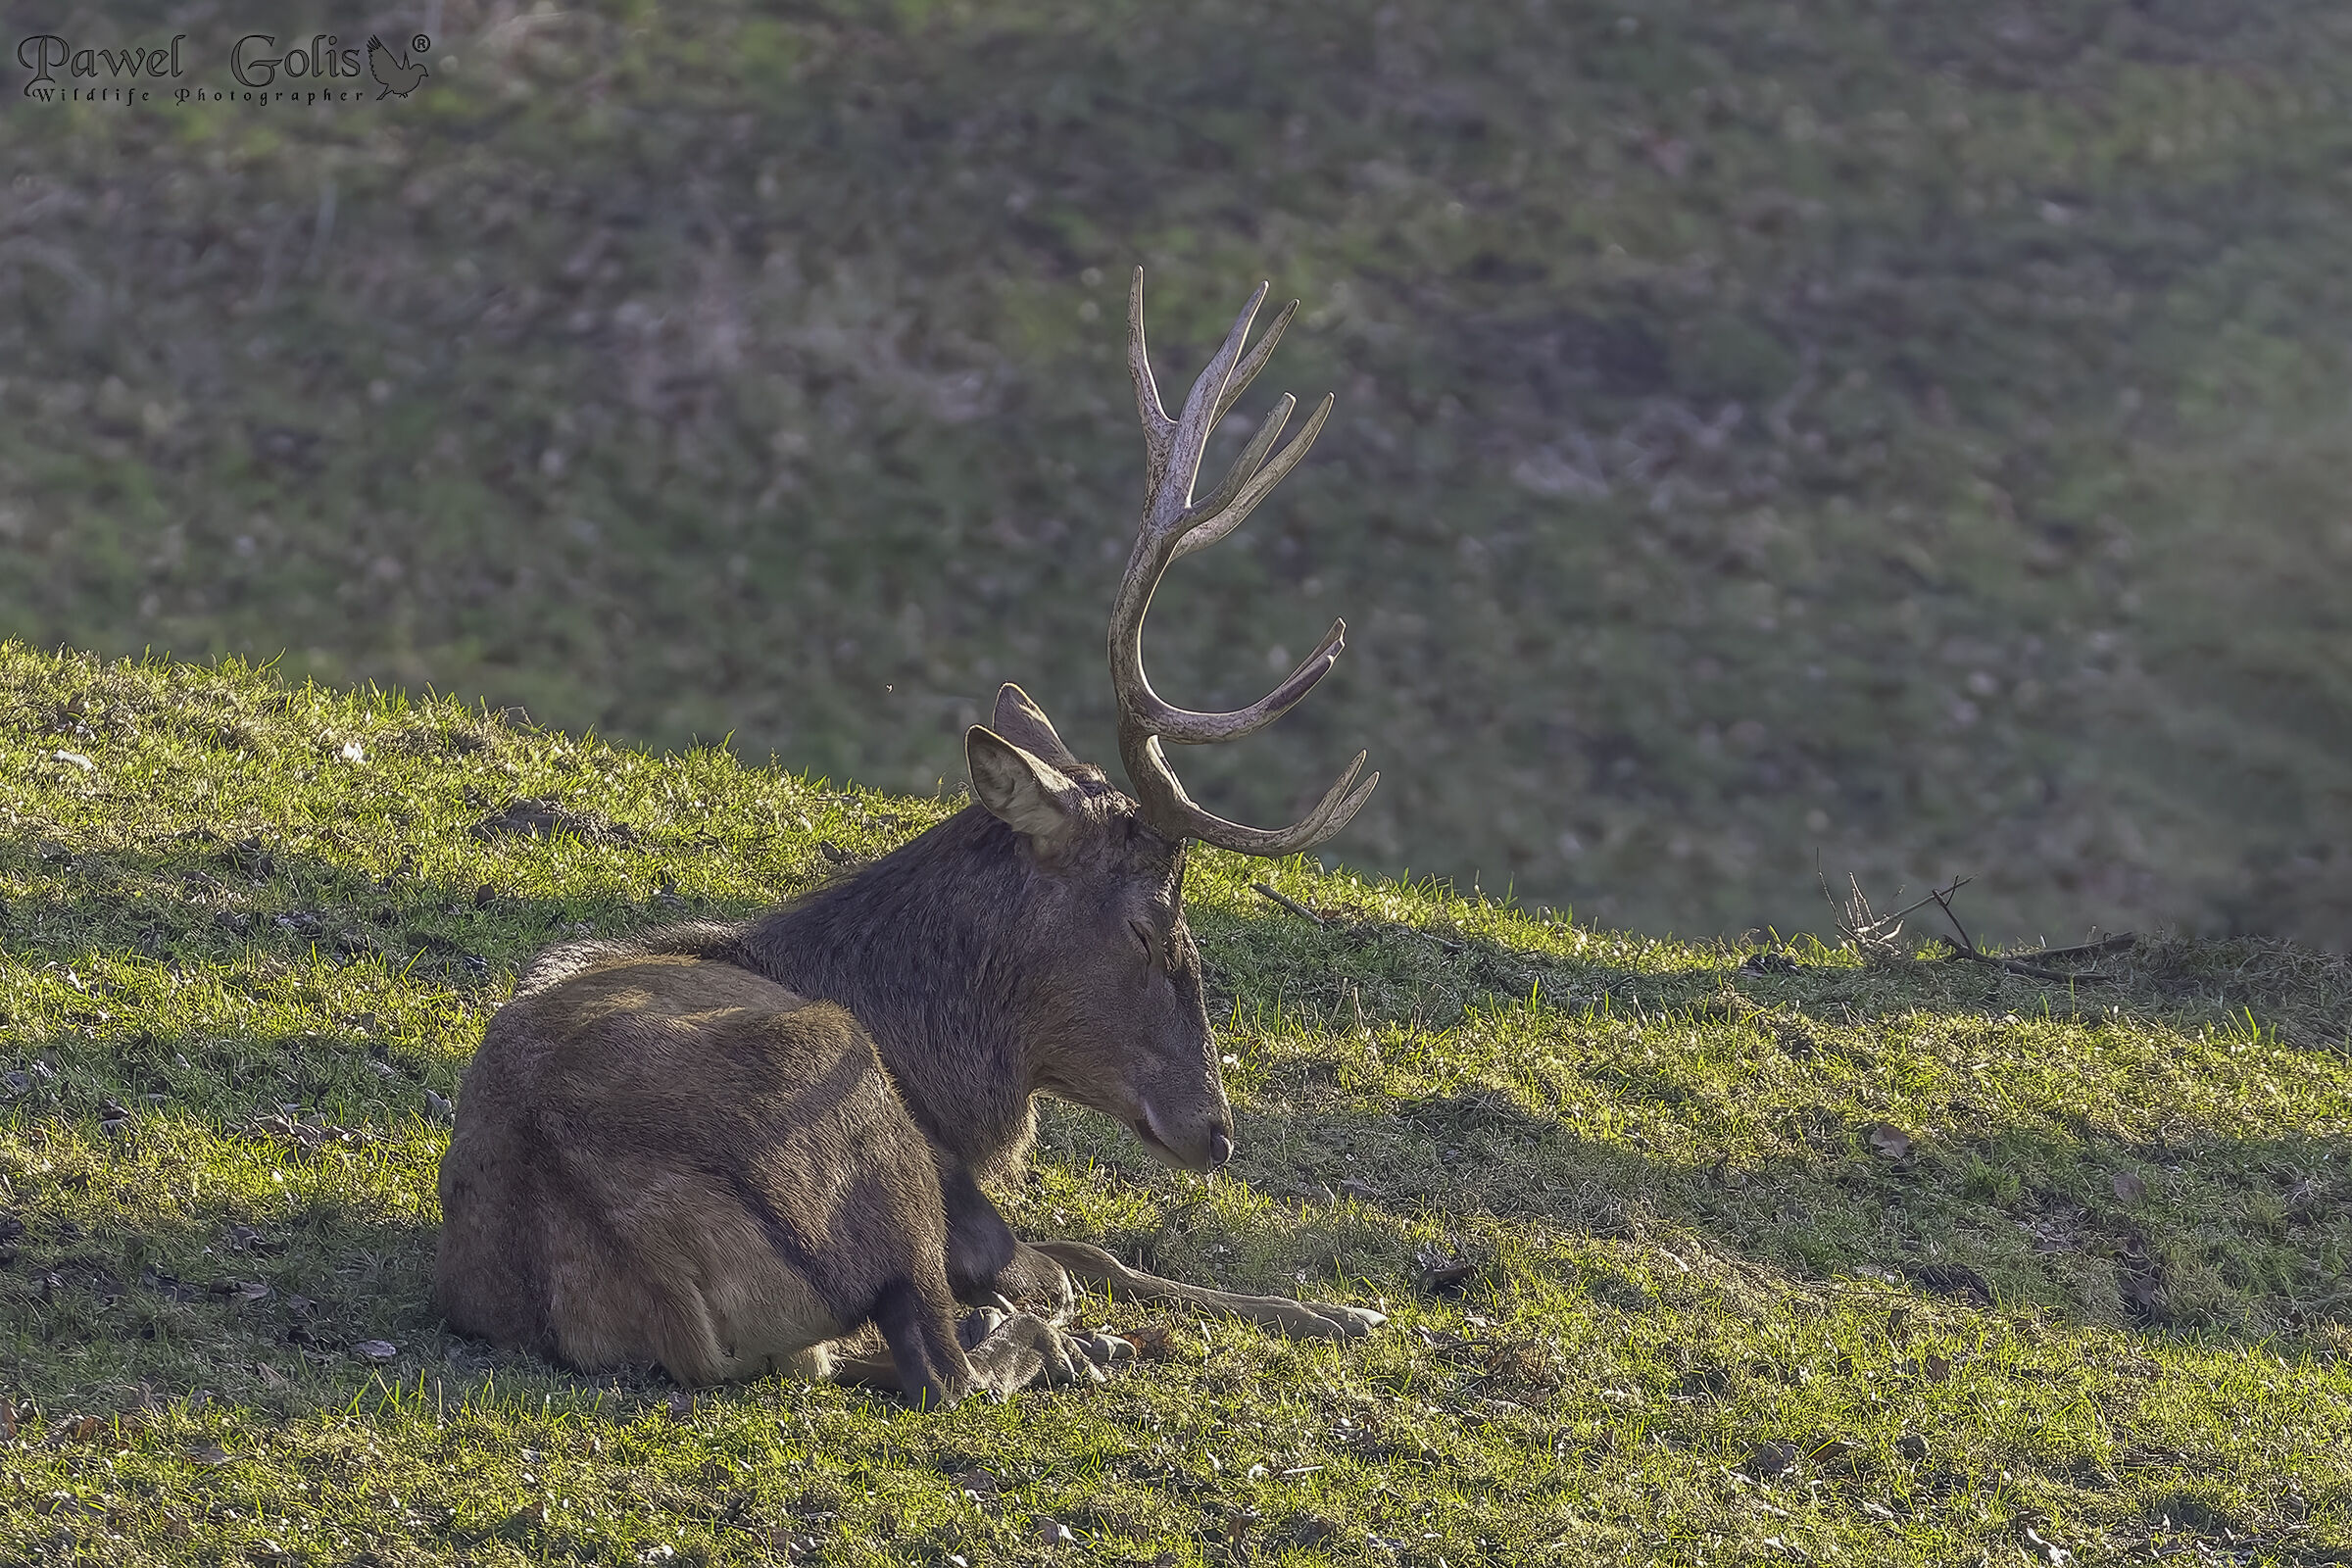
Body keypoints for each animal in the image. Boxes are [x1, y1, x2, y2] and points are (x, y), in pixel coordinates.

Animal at [434, 270, 1386, 1404]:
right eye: (1153, 926)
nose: (1219, 1132)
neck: (951, 1077)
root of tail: (648, 1262)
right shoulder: (958, 1192)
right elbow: (1083, 1255)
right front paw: (1339, 1307)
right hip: (853, 1106)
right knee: (946, 1362)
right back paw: (1050, 1343)